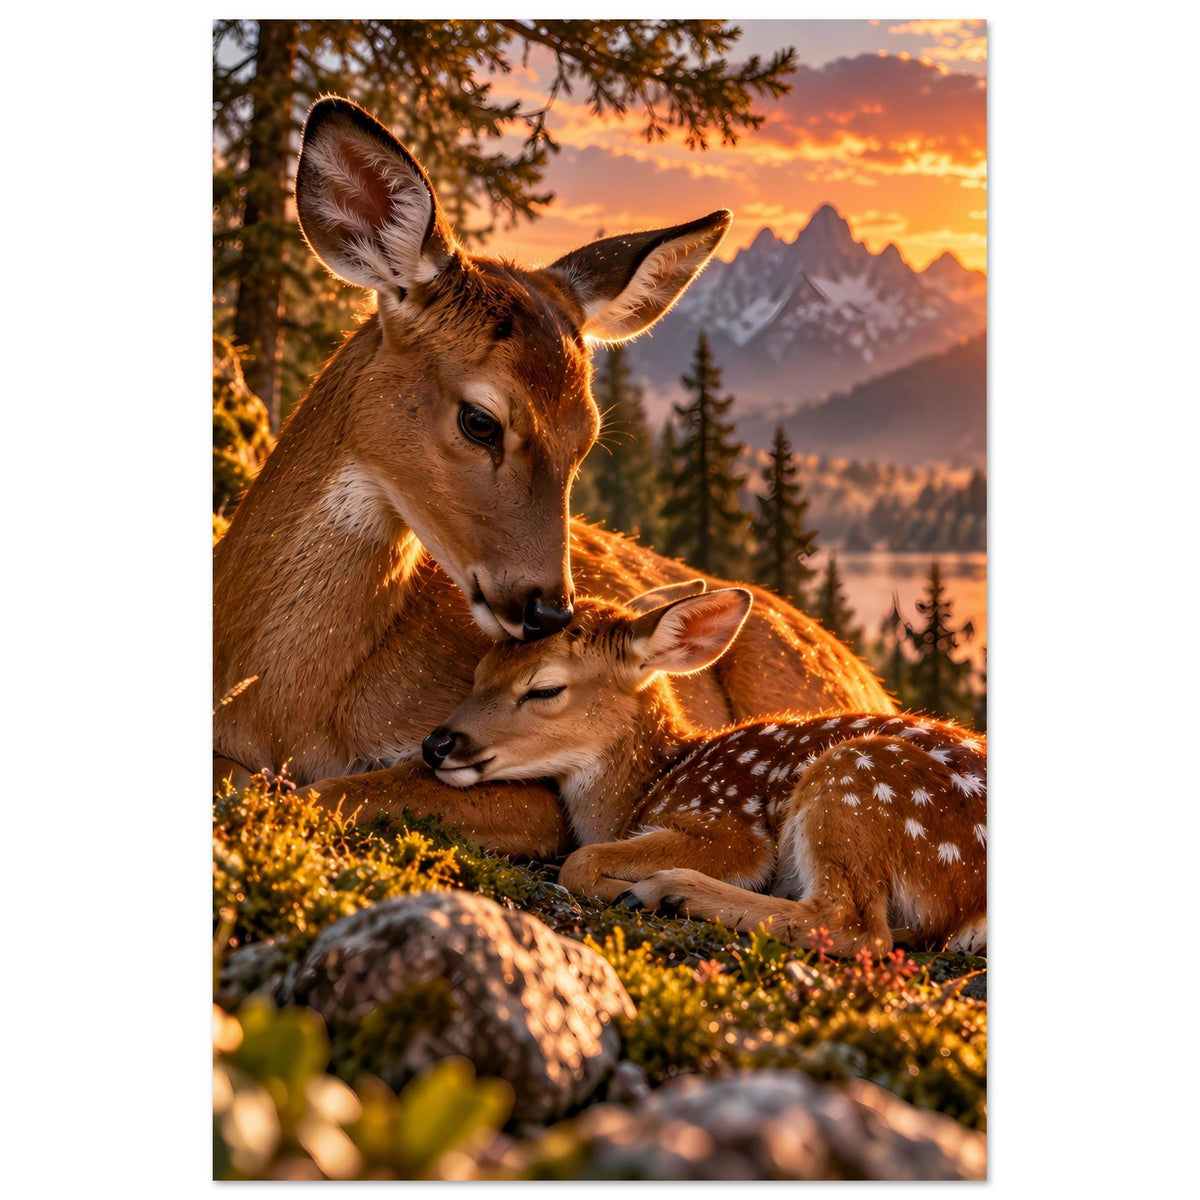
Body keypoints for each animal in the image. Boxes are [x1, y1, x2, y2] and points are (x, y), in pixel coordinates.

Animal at [214, 96, 894, 861]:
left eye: (587, 437)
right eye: (480, 420)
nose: (548, 610)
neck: (278, 706)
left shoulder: (530, 792)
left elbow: (328, 790)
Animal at [423, 583, 986, 956]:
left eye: (545, 688)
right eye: (479, 672)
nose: (436, 744)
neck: (647, 786)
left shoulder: (728, 827)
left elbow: (578, 861)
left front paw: (623, 886)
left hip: (856, 780)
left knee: (854, 926)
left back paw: (664, 892)